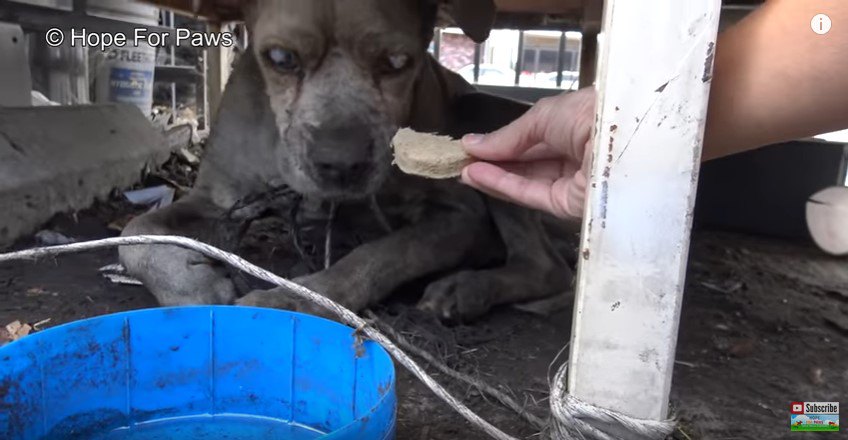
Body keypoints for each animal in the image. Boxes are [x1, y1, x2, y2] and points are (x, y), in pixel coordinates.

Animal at [121, 0, 576, 324]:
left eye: (397, 62)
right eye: (281, 58)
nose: (340, 163)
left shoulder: (458, 215)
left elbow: (382, 254)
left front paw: (298, 300)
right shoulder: (216, 200)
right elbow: (135, 234)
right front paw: (192, 286)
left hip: (485, 116)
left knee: (547, 267)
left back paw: (466, 289)